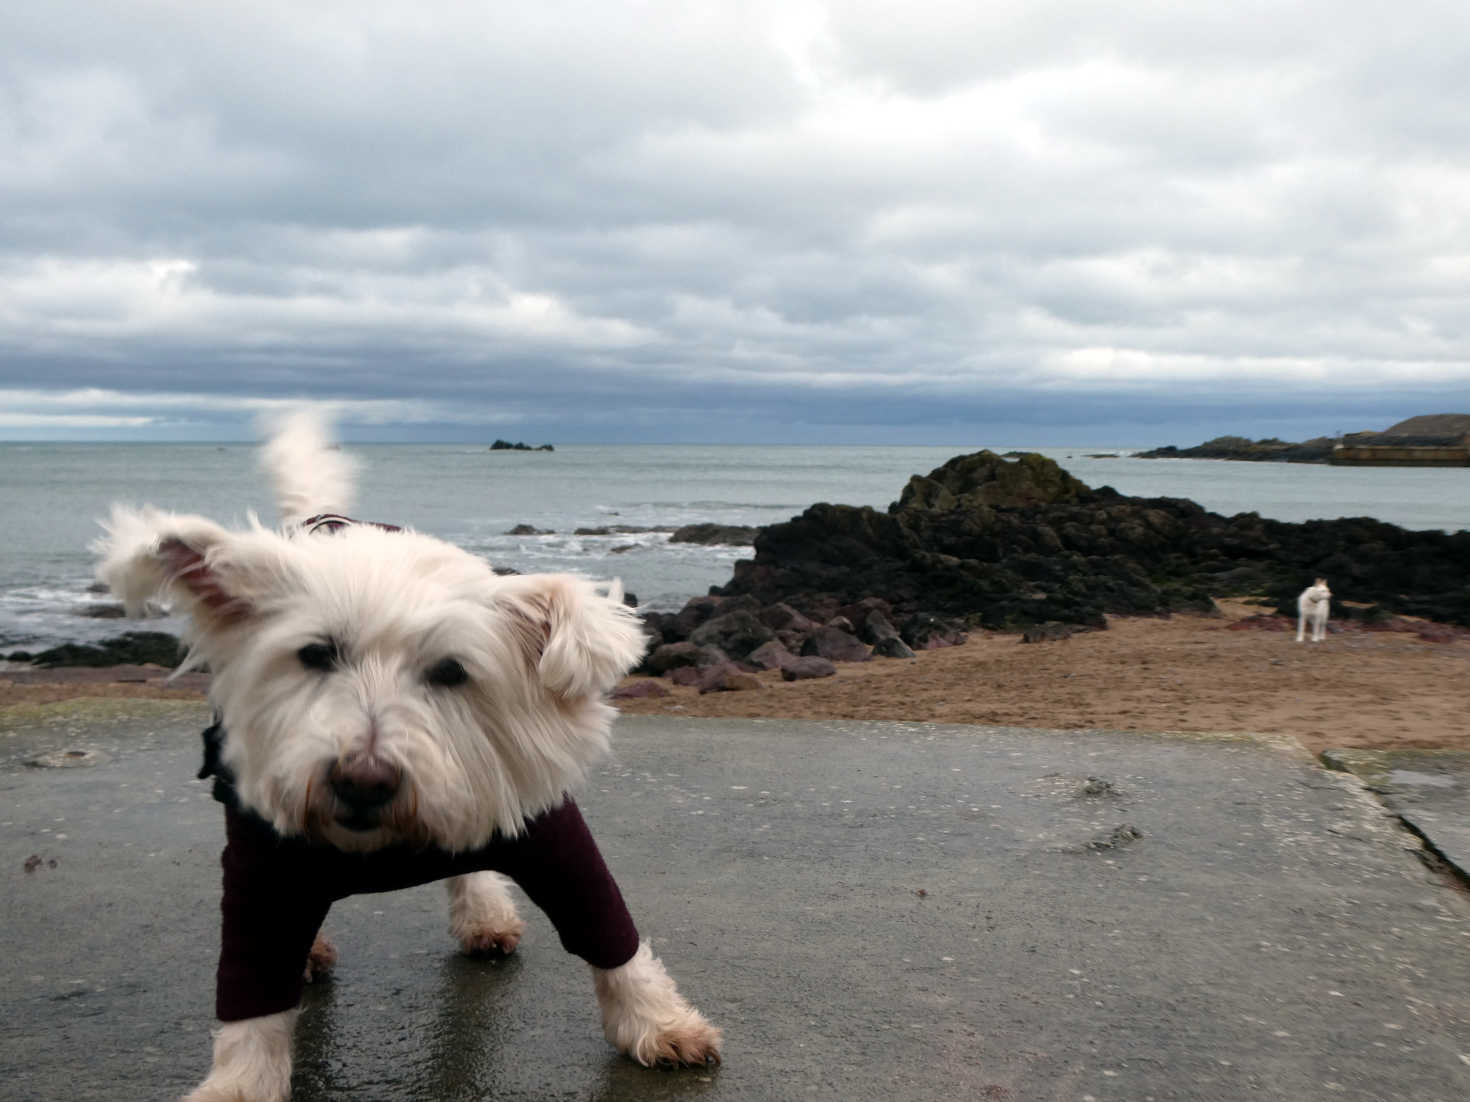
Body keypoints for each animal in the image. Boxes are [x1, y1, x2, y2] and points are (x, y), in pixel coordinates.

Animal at [88, 417, 720, 1102]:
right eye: (316, 654)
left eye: (451, 671)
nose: (362, 783)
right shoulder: (264, 866)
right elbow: (250, 990)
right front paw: (240, 1084)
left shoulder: (553, 839)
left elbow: (609, 932)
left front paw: (657, 1021)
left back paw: (483, 913)